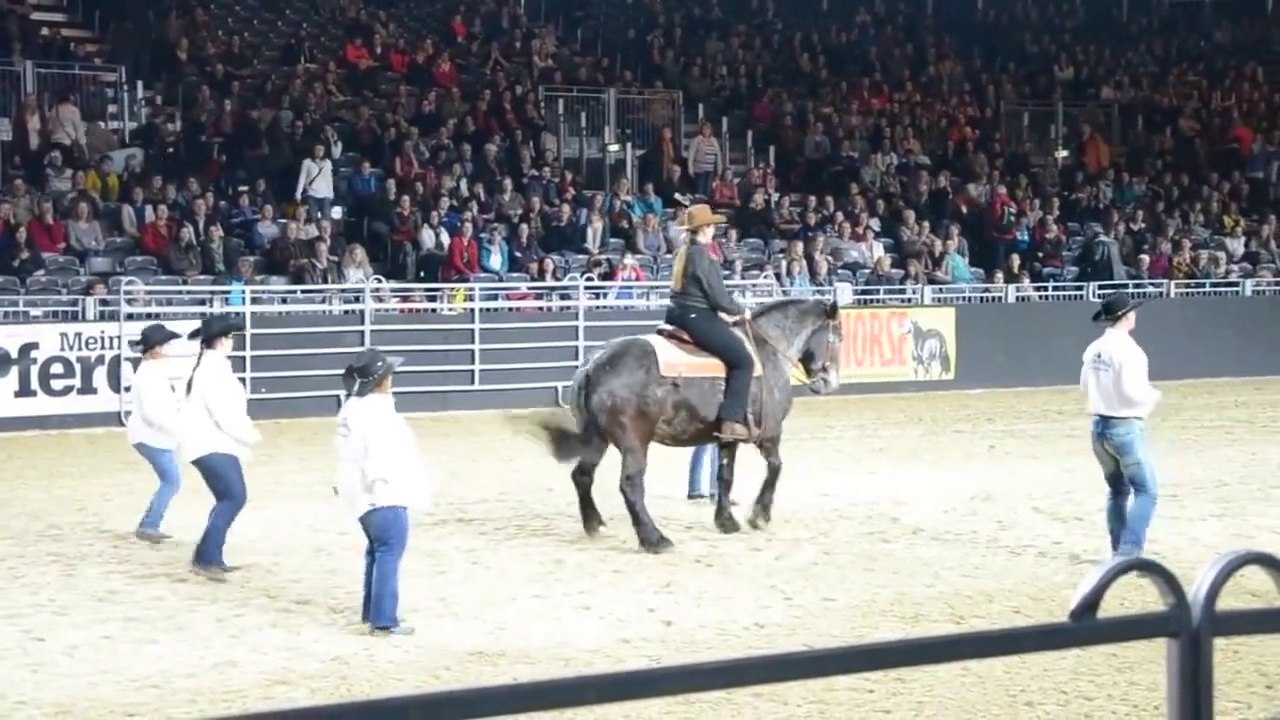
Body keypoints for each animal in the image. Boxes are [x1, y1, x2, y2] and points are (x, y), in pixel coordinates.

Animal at [534, 297, 844, 553]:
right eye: (838, 338)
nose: (828, 382)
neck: (766, 352)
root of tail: (594, 364)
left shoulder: (727, 438)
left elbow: (725, 477)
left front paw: (726, 522)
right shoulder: (769, 434)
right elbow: (776, 467)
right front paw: (759, 516)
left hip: (598, 438)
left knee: (582, 476)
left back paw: (594, 524)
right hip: (634, 442)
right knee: (630, 484)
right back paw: (655, 539)